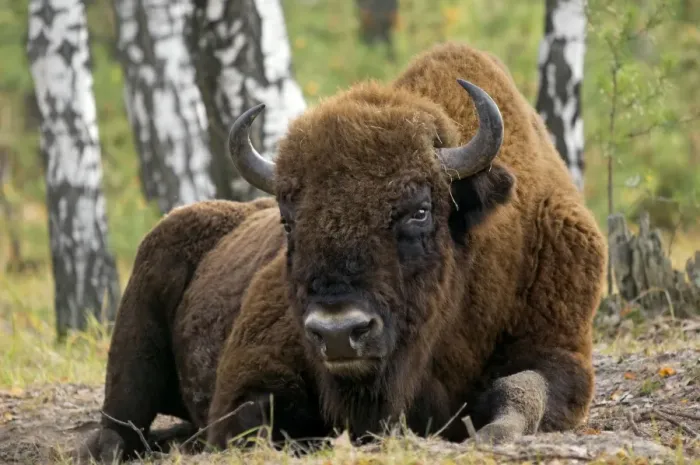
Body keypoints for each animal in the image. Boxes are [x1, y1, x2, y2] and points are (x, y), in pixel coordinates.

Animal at [76, 41, 607, 463]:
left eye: (419, 211)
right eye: (288, 220)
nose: (337, 333)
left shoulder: (559, 352)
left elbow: (521, 391)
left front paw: (489, 433)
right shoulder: (247, 379)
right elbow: (253, 422)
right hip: (131, 352)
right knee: (118, 427)